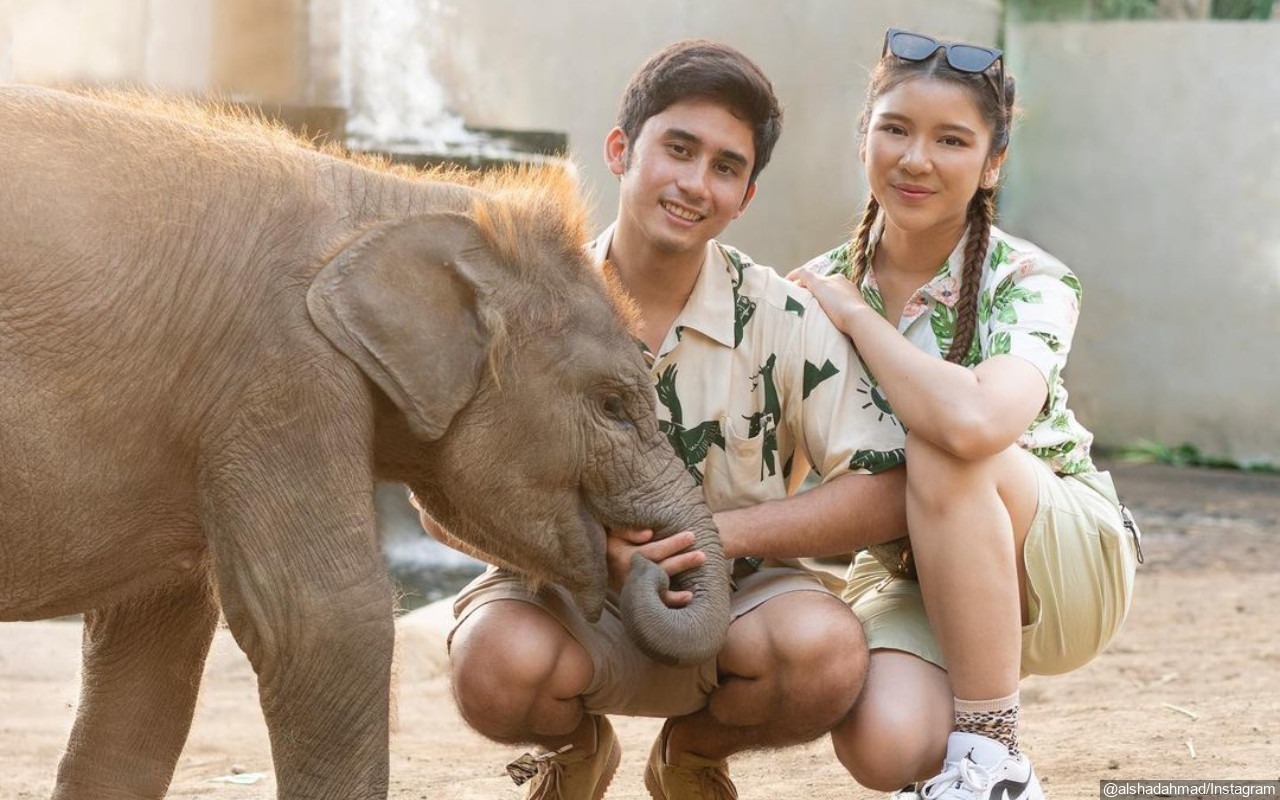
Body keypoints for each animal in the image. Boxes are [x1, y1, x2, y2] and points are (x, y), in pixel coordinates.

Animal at [0, 87, 727, 798]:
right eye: (612, 407)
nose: (662, 568)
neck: (389, 200)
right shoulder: (281, 375)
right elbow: (327, 620)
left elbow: (154, 643)